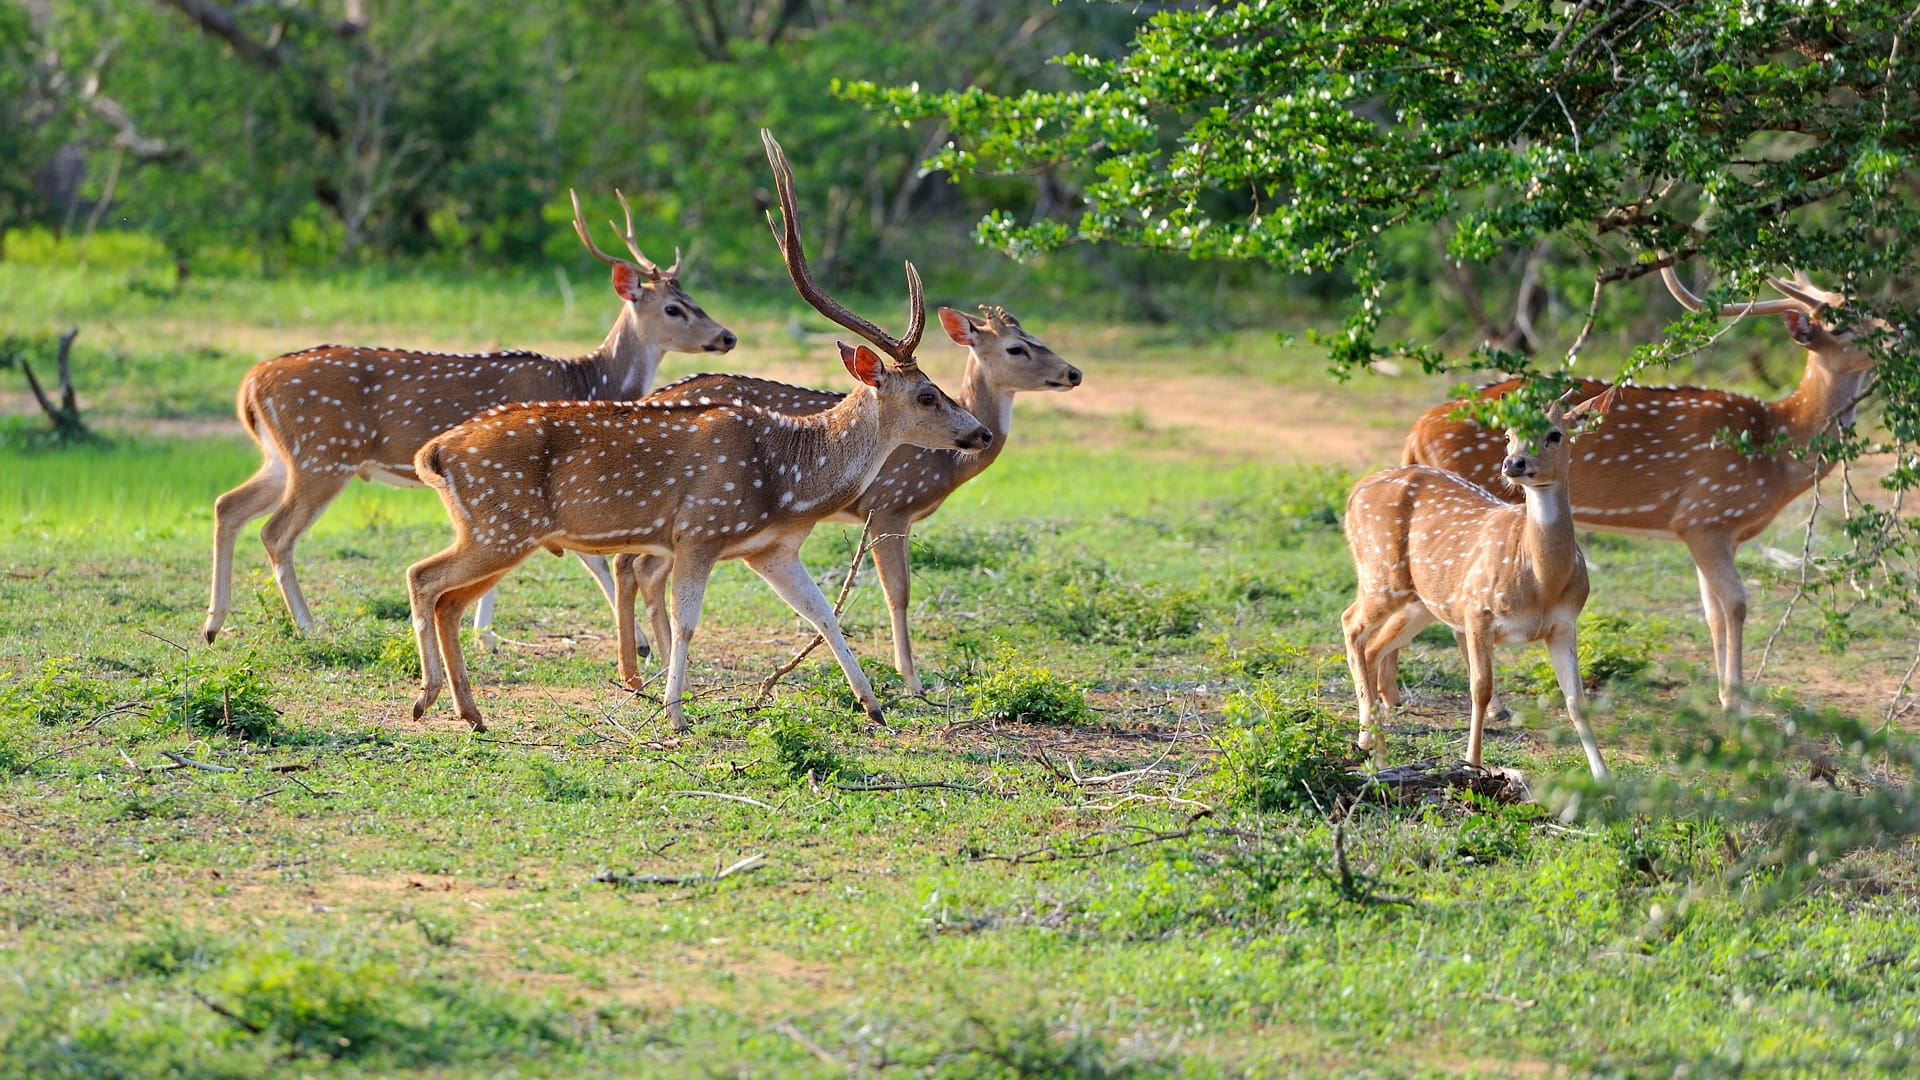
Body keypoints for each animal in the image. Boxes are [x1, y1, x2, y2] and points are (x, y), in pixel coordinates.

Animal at [202, 190, 736, 651]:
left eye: (696, 298)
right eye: (674, 307)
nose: (727, 336)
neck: (587, 383)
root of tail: (251, 382)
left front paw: (484, 633)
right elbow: (590, 558)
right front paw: (637, 643)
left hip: (282, 456)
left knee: (228, 505)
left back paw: (213, 624)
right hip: (324, 455)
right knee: (276, 532)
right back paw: (308, 626)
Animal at [403, 129, 992, 733]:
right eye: (927, 394)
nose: (981, 434)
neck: (789, 482)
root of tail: (438, 451)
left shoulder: (770, 549)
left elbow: (826, 616)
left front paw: (873, 706)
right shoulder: (700, 529)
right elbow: (689, 621)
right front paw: (676, 715)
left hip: (493, 530)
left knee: (443, 594)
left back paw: (463, 709)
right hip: (502, 527)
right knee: (426, 579)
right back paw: (437, 701)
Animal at [611, 304, 1081, 695]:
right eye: (1017, 347)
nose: (1074, 373)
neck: (946, 468)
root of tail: (650, 395)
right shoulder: (890, 505)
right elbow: (899, 591)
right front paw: (912, 681)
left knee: (636, 565)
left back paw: (647, 673)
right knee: (637, 565)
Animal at [1344, 392, 1614, 780]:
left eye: (1555, 434)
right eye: (1508, 433)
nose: (1513, 464)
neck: (1542, 583)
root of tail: (1352, 494)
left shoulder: (1563, 624)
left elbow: (1576, 700)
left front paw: (1603, 776)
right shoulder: (1477, 609)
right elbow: (1480, 688)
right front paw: (1473, 763)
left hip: (1423, 602)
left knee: (1373, 647)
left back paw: (1376, 752)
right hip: (1380, 575)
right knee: (1350, 623)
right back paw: (1367, 740)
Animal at [1399, 265, 1881, 710]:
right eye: (1842, 324)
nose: (1893, 331)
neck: (1776, 451)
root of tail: (1416, 431)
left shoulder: (1712, 532)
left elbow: (1714, 612)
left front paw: (1725, 694)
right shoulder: (1706, 517)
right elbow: (1737, 604)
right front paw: (1736, 703)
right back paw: (1496, 706)